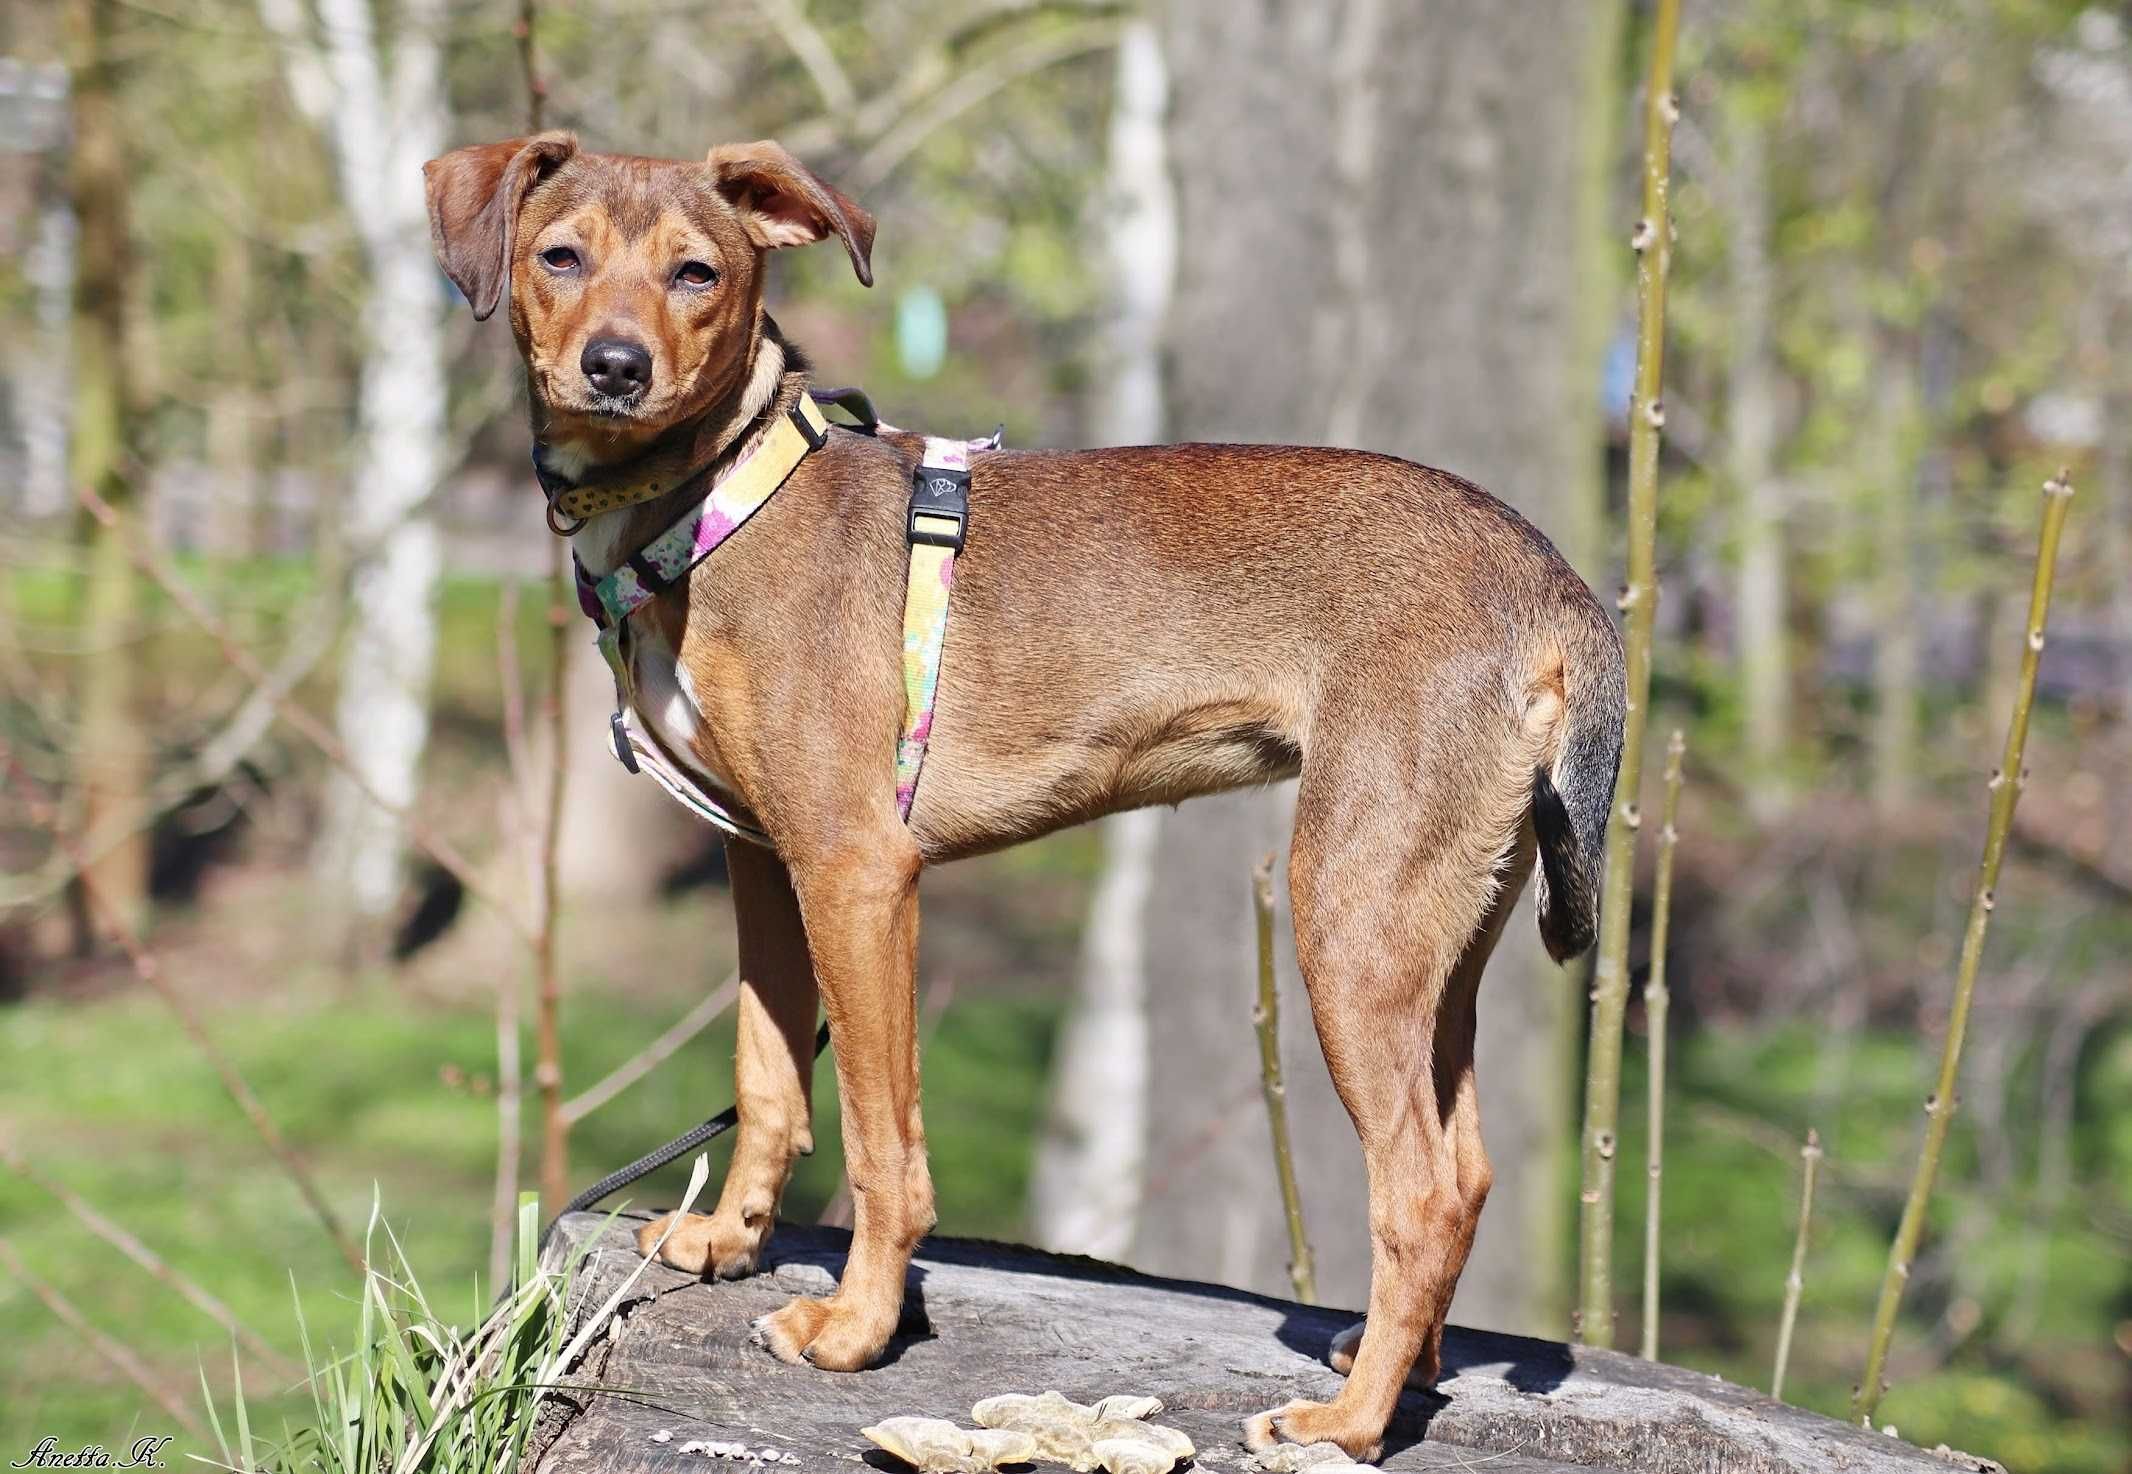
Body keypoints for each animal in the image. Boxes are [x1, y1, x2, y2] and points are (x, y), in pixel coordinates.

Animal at [424, 135, 1620, 1467]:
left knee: (1415, 1189)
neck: (720, 498)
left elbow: (879, 1140)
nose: (616, 367)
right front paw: (728, 1242)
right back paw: (1397, 1372)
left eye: (697, 274)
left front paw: (856, 1330)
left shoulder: (856, 872)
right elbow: (768, 1075)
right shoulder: (764, 864)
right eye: (558, 256)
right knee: (1464, 1173)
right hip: (1437, 932)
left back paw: (1346, 1420)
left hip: (1346, 917)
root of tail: (1551, 584)